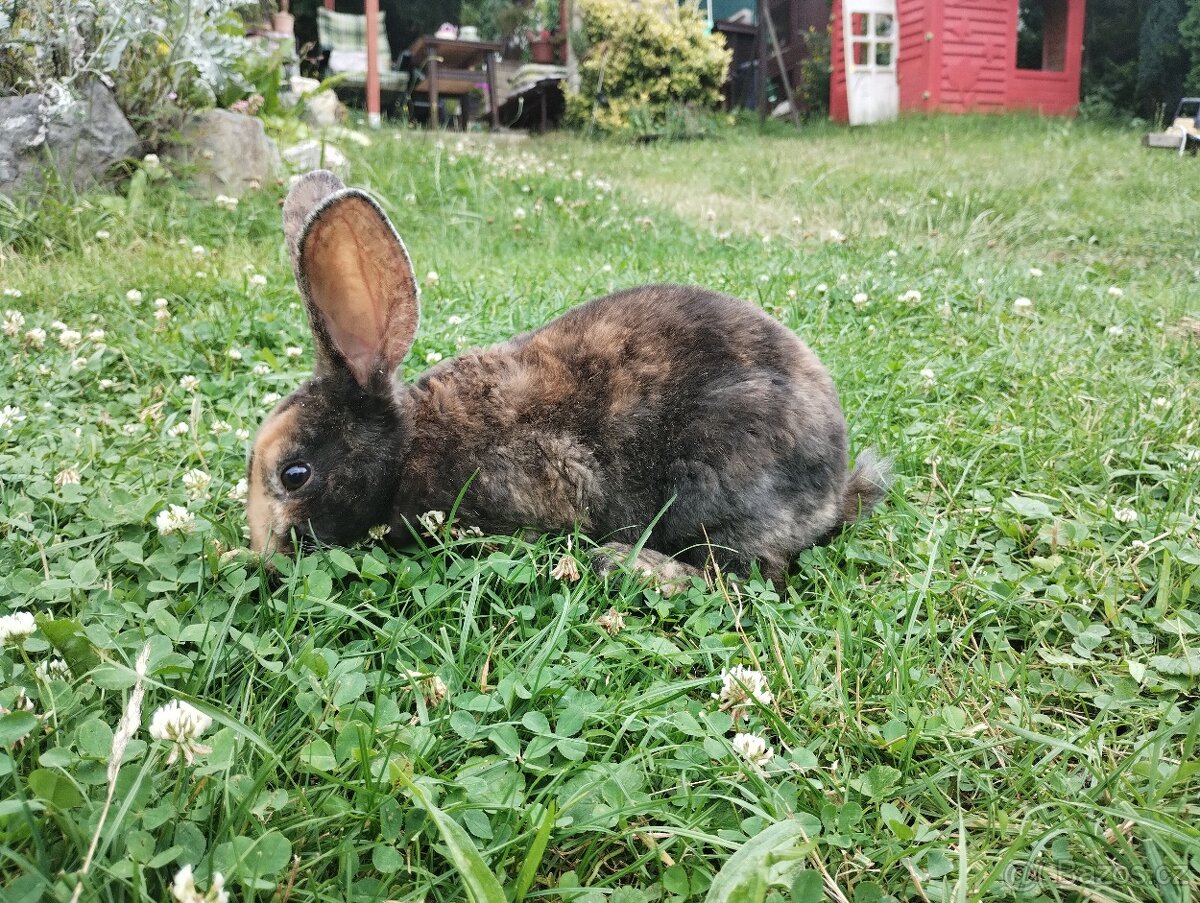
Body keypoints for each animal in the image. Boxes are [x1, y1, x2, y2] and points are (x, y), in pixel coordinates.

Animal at [248, 170, 892, 585]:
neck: (410, 445)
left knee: (747, 576)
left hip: (719, 478)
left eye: (295, 474)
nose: (264, 557)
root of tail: (833, 489)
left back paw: (630, 565)